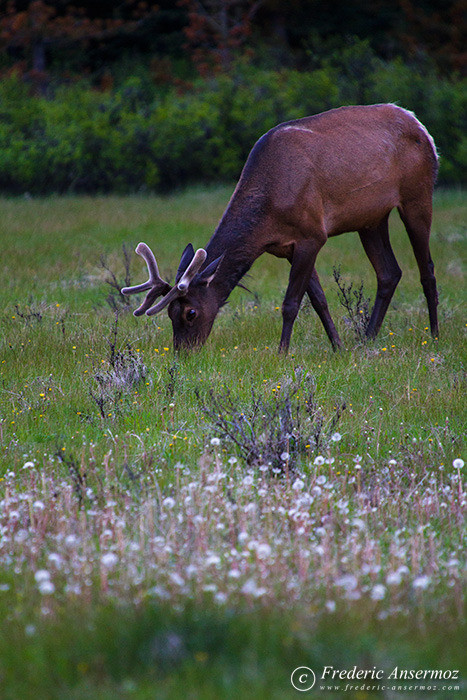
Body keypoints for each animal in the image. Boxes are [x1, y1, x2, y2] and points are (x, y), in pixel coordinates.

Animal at [122, 104, 440, 352]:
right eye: (170, 313)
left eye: (191, 312)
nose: (183, 353)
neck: (268, 217)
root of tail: (422, 128)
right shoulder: (288, 247)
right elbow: (319, 300)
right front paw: (338, 347)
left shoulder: (313, 234)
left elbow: (291, 303)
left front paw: (282, 352)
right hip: (371, 218)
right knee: (389, 272)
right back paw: (367, 339)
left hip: (418, 194)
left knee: (426, 270)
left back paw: (435, 336)